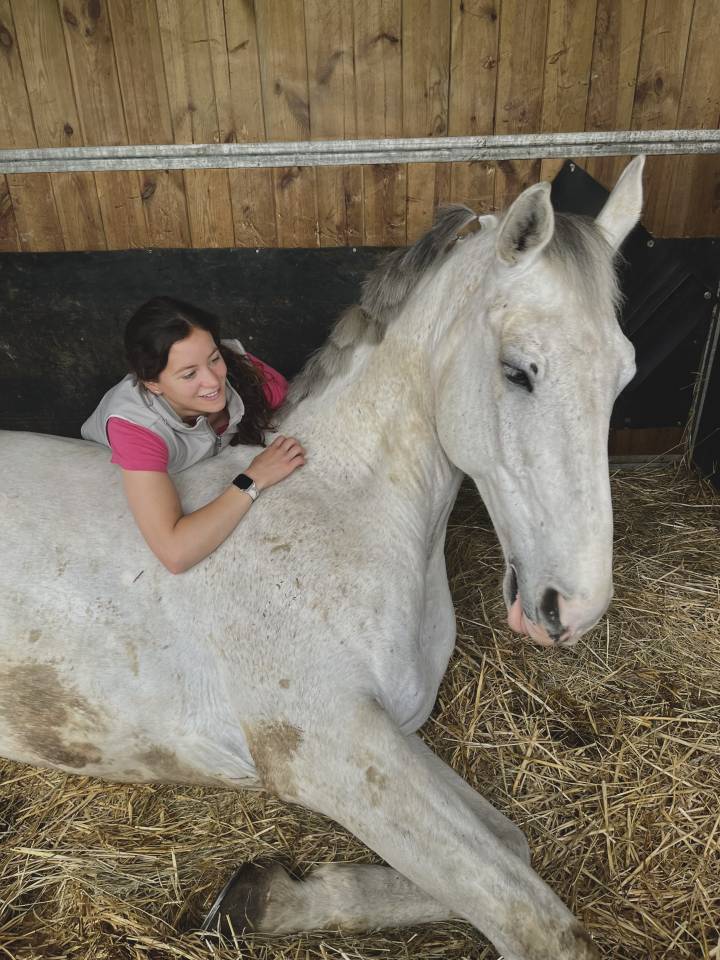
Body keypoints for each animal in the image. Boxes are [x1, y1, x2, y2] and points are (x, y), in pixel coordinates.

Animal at [0, 156, 644, 960]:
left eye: (624, 374)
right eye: (518, 370)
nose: (573, 608)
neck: (342, 508)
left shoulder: (388, 733)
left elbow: (509, 845)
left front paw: (258, 899)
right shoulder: (331, 748)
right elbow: (530, 915)